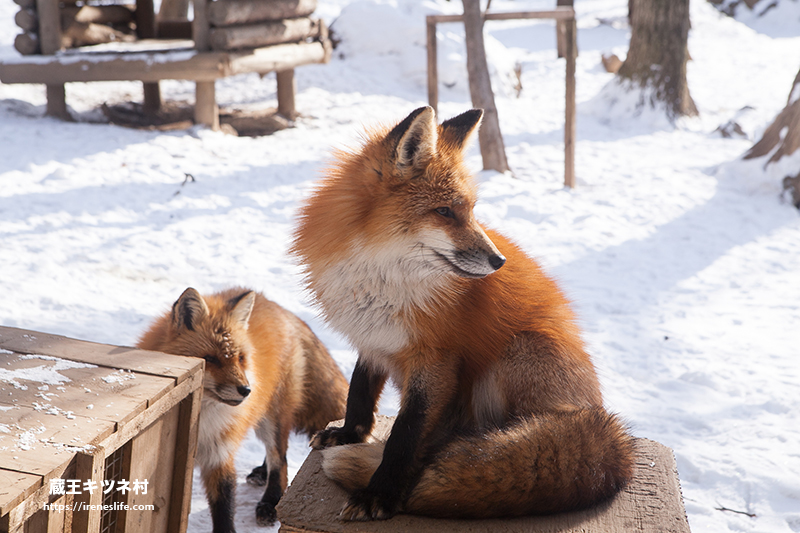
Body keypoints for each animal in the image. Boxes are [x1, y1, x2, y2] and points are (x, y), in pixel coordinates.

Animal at [135, 288, 346, 528]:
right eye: (210, 359)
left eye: (240, 358)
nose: (246, 390)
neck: (203, 416)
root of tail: (281, 309)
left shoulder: (220, 453)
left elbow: (224, 510)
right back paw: (262, 472)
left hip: (274, 417)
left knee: (280, 458)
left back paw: (270, 501)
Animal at [290, 107, 636, 520]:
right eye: (444, 212)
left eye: (470, 211)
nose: (499, 261)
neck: (380, 280)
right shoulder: (374, 337)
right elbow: (359, 391)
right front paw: (349, 434)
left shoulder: (436, 359)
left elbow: (405, 433)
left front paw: (381, 493)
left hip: (516, 352)